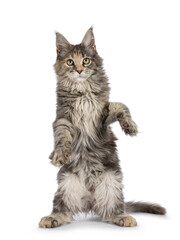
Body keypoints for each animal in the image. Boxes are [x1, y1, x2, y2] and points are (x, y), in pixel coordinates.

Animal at [39, 27, 166, 228]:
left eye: (86, 60)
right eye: (70, 62)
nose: (79, 70)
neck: (83, 91)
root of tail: (89, 201)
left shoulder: (102, 117)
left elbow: (120, 105)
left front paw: (129, 126)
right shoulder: (63, 118)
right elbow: (61, 135)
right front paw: (60, 154)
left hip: (112, 182)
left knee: (111, 210)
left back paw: (123, 217)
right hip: (65, 184)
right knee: (63, 210)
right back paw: (52, 218)